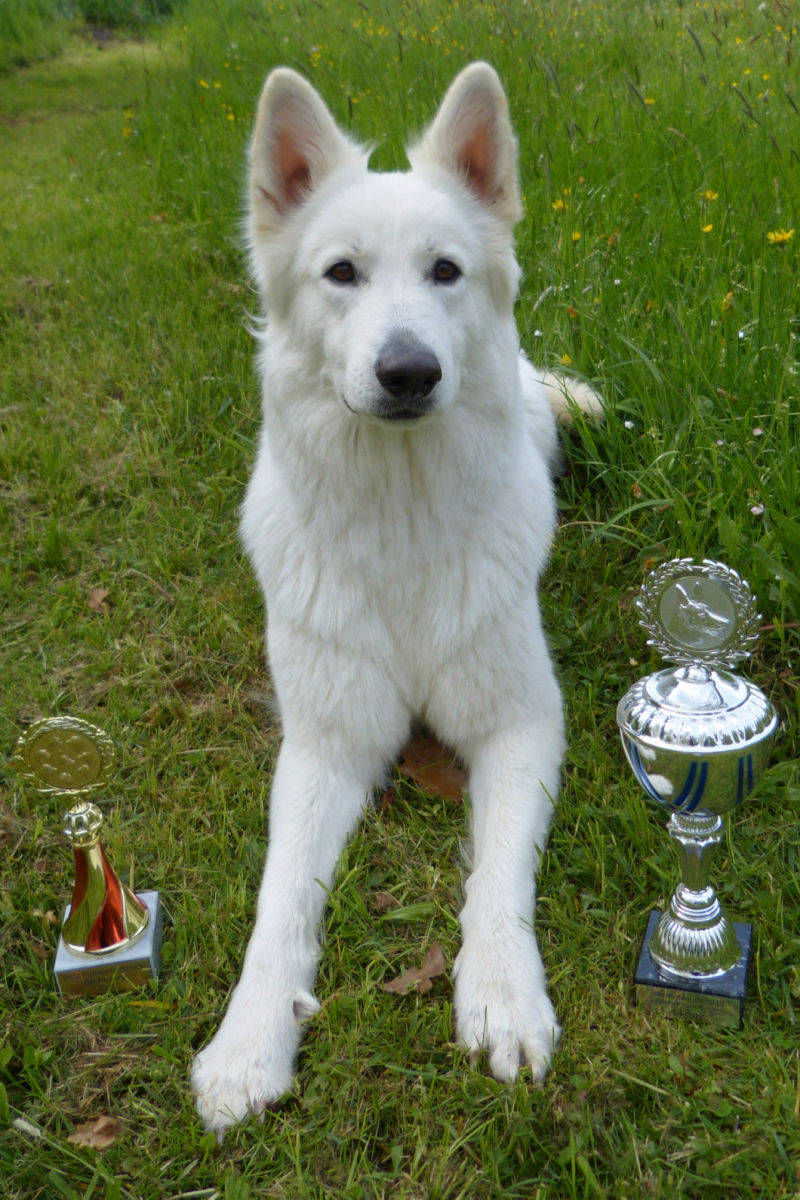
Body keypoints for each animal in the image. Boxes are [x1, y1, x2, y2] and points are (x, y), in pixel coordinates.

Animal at [191, 60, 599, 1137]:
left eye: (445, 272)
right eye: (341, 274)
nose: (409, 371)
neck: (401, 518)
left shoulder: (521, 724)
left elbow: (498, 878)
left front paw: (500, 994)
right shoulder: (322, 747)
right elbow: (278, 901)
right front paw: (248, 1040)